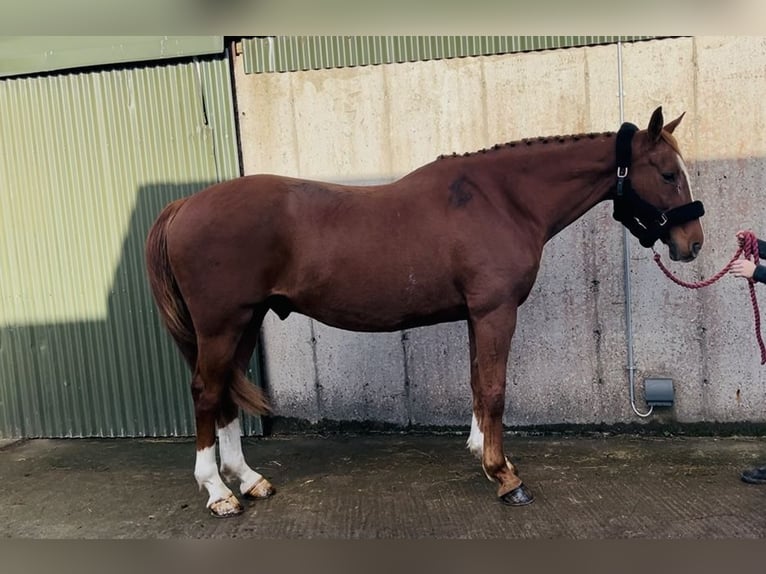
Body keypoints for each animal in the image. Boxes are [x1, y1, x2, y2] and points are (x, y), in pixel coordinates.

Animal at [145, 106, 705, 517]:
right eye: (668, 174)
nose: (693, 244)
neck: (502, 199)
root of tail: (184, 206)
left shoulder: (478, 314)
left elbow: (479, 383)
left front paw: (485, 456)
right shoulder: (495, 311)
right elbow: (495, 389)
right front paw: (506, 477)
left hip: (245, 322)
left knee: (224, 394)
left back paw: (250, 481)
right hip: (223, 324)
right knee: (206, 392)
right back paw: (218, 493)